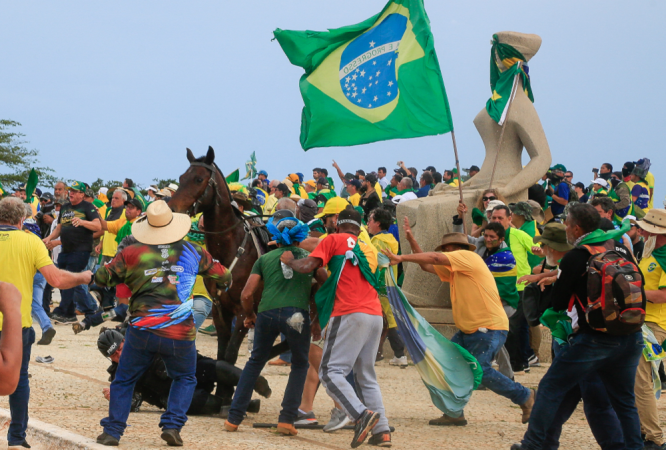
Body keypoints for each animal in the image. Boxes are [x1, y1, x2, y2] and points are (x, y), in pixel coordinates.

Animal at [167, 146, 264, 368]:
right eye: (182, 177)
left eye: (198, 179)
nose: (172, 210)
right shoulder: (221, 312)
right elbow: (221, 356)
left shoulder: (244, 314)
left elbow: (229, 357)